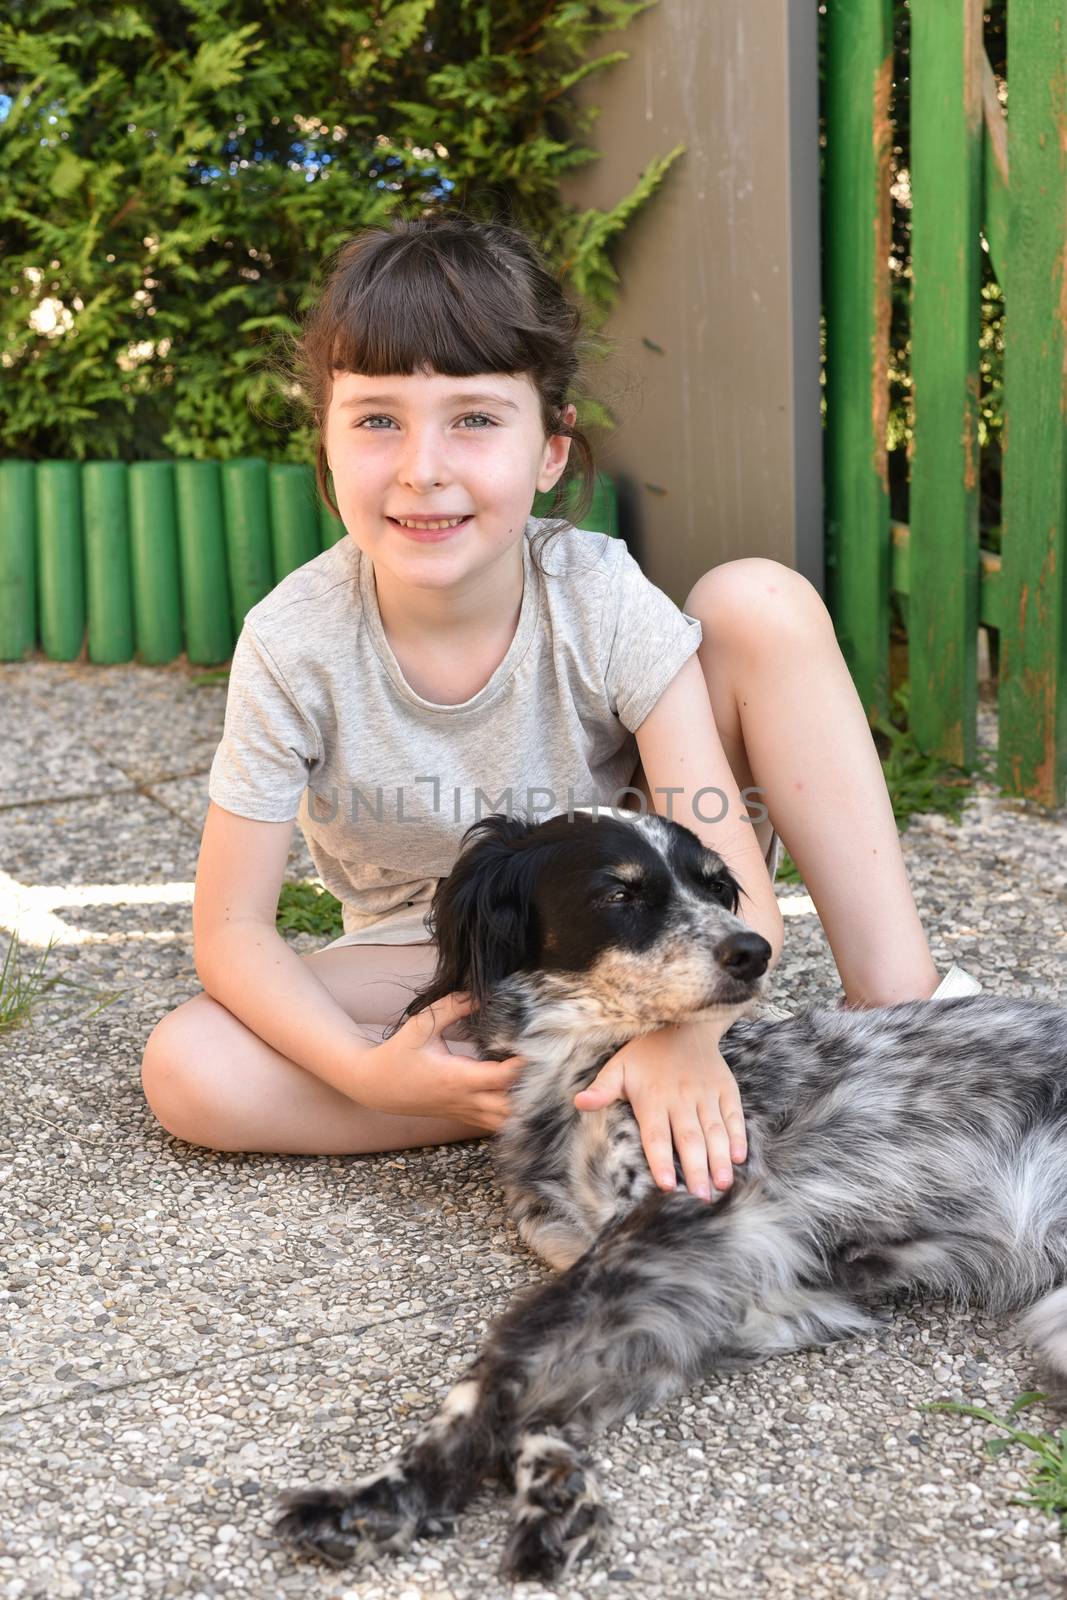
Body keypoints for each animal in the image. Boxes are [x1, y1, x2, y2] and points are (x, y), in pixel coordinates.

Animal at [273, 812, 1067, 1587]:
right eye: (619, 894)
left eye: (716, 888)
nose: (751, 951)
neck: (581, 1068)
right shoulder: (737, 1291)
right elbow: (555, 1379)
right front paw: (552, 1486)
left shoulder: (686, 1223)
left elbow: (503, 1356)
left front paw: (388, 1496)